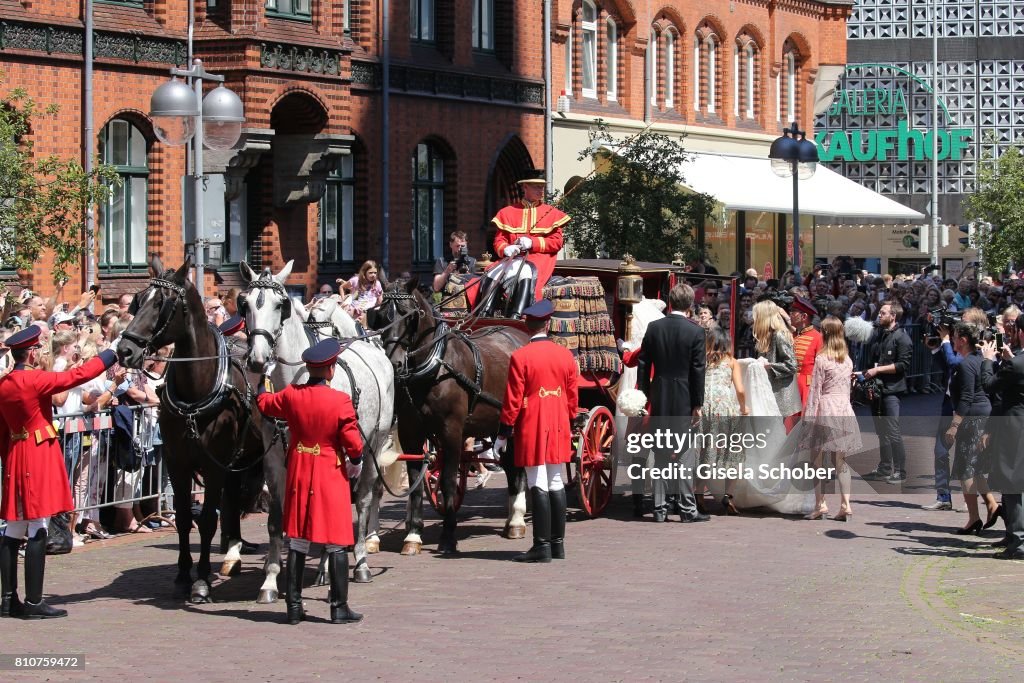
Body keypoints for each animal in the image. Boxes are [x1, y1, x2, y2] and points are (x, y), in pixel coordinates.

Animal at [117, 258, 284, 602]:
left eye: (163, 304)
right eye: (139, 300)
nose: (124, 350)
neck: (196, 393)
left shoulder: (212, 463)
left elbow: (206, 519)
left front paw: (202, 581)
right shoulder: (177, 462)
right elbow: (183, 518)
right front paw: (183, 575)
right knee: (232, 500)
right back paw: (232, 552)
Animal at [241, 264, 397, 585]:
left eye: (280, 305)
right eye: (245, 304)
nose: (258, 359)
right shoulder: (274, 459)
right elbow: (277, 520)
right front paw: (271, 579)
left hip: (372, 446)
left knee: (363, 499)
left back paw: (360, 561)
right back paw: (326, 565)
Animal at [376, 278, 528, 557]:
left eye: (409, 315)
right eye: (380, 316)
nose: (393, 364)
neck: (435, 367)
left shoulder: (451, 431)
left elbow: (447, 481)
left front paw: (448, 536)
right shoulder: (411, 432)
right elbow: (415, 483)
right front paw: (413, 535)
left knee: (519, 466)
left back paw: (517, 519)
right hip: (498, 426)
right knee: (510, 465)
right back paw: (512, 519)